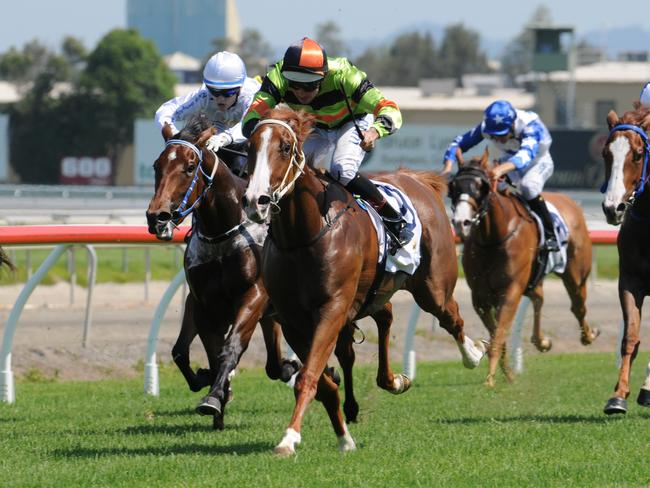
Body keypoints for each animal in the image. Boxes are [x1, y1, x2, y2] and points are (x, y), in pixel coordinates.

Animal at [147, 116, 296, 428]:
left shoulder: (254, 295)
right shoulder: (203, 304)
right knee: (272, 364)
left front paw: (215, 397)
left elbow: (231, 347)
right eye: (157, 165)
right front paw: (216, 393)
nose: (157, 217)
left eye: (190, 167)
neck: (221, 233)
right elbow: (196, 354)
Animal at [240, 106, 484, 454]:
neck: (303, 236)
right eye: (250, 147)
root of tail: (415, 179)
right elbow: (323, 383)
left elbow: (310, 375)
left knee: (451, 316)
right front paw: (344, 437)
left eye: (285, 147)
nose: (254, 201)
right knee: (386, 316)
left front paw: (289, 438)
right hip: (374, 291)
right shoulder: (293, 319)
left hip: (432, 286)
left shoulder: (332, 308)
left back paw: (473, 354)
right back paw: (392, 380)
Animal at [448, 151, 596, 386]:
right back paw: (542, 341)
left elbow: (499, 334)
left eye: (482, 186)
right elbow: (496, 335)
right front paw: (506, 373)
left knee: (578, 306)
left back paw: (588, 335)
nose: (461, 223)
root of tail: (571, 203)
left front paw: (490, 379)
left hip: (575, 273)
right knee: (539, 298)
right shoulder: (480, 298)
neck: (493, 238)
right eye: (453, 186)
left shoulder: (510, 291)